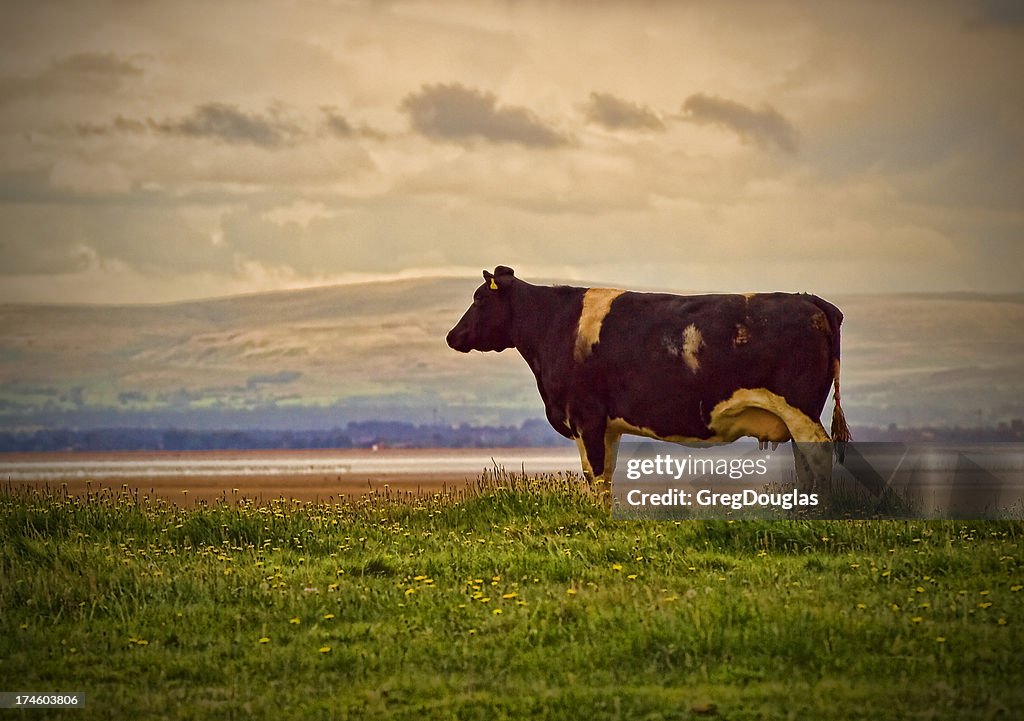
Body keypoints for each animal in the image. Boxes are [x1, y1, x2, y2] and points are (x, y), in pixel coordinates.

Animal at [444, 268, 851, 493]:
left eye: (479, 299)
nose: (452, 336)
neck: (554, 324)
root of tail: (808, 299)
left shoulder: (586, 415)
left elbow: (595, 475)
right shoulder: (607, 425)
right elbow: (605, 472)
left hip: (799, 407)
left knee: (818, 451)